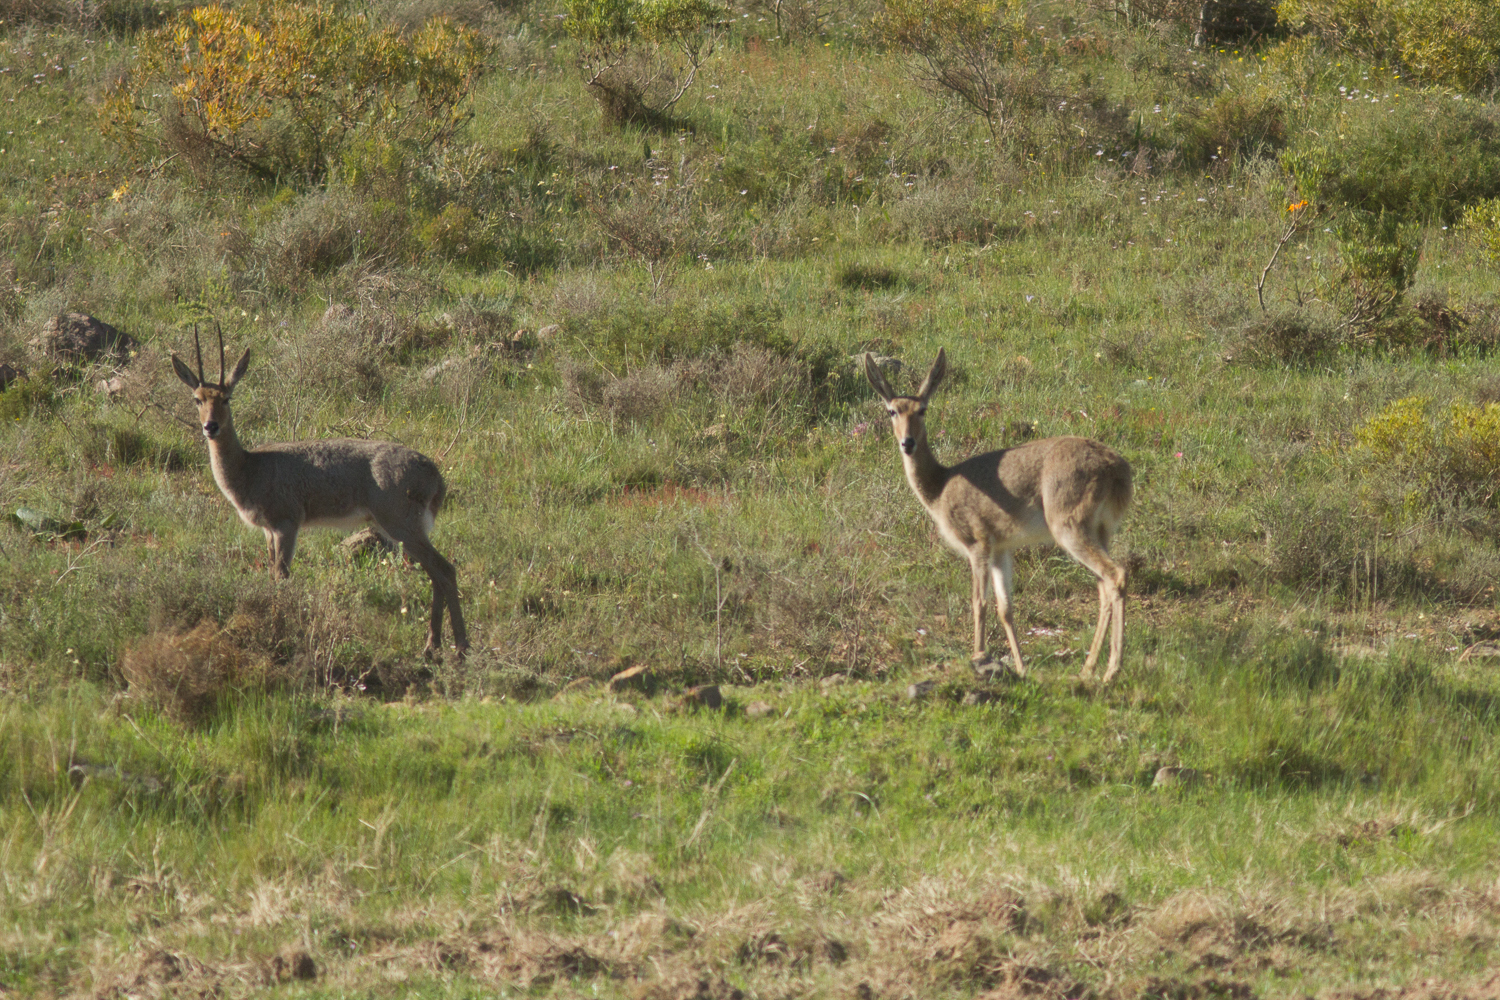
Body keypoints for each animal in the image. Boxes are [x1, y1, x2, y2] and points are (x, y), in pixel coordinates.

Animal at [170, 325, 465, 659]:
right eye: (197, 399)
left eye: (228, 398)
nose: (211, 426)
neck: (250, 468)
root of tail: (435, 476)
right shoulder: (268, 531)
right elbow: (271, 574)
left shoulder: (286, 523)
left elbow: (282, 576)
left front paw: (280, 631)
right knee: (437, 573)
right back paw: (433, 646)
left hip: (401, 525)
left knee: (445, 569)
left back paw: (459, 648)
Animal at [864, 347, 1128, 683]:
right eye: (892, 411)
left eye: (922, 409)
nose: (907, 442)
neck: (939, 487)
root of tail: (1119, 470)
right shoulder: (1003, 547)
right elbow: (1006, 607)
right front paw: (1021, 667)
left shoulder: (978, 542)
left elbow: (979, 602)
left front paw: (978, 657)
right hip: (1102, 529)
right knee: (1103, 585)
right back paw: (1089, 668)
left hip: (1069, 526)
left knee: (1116, 575)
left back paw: (1110, 670)